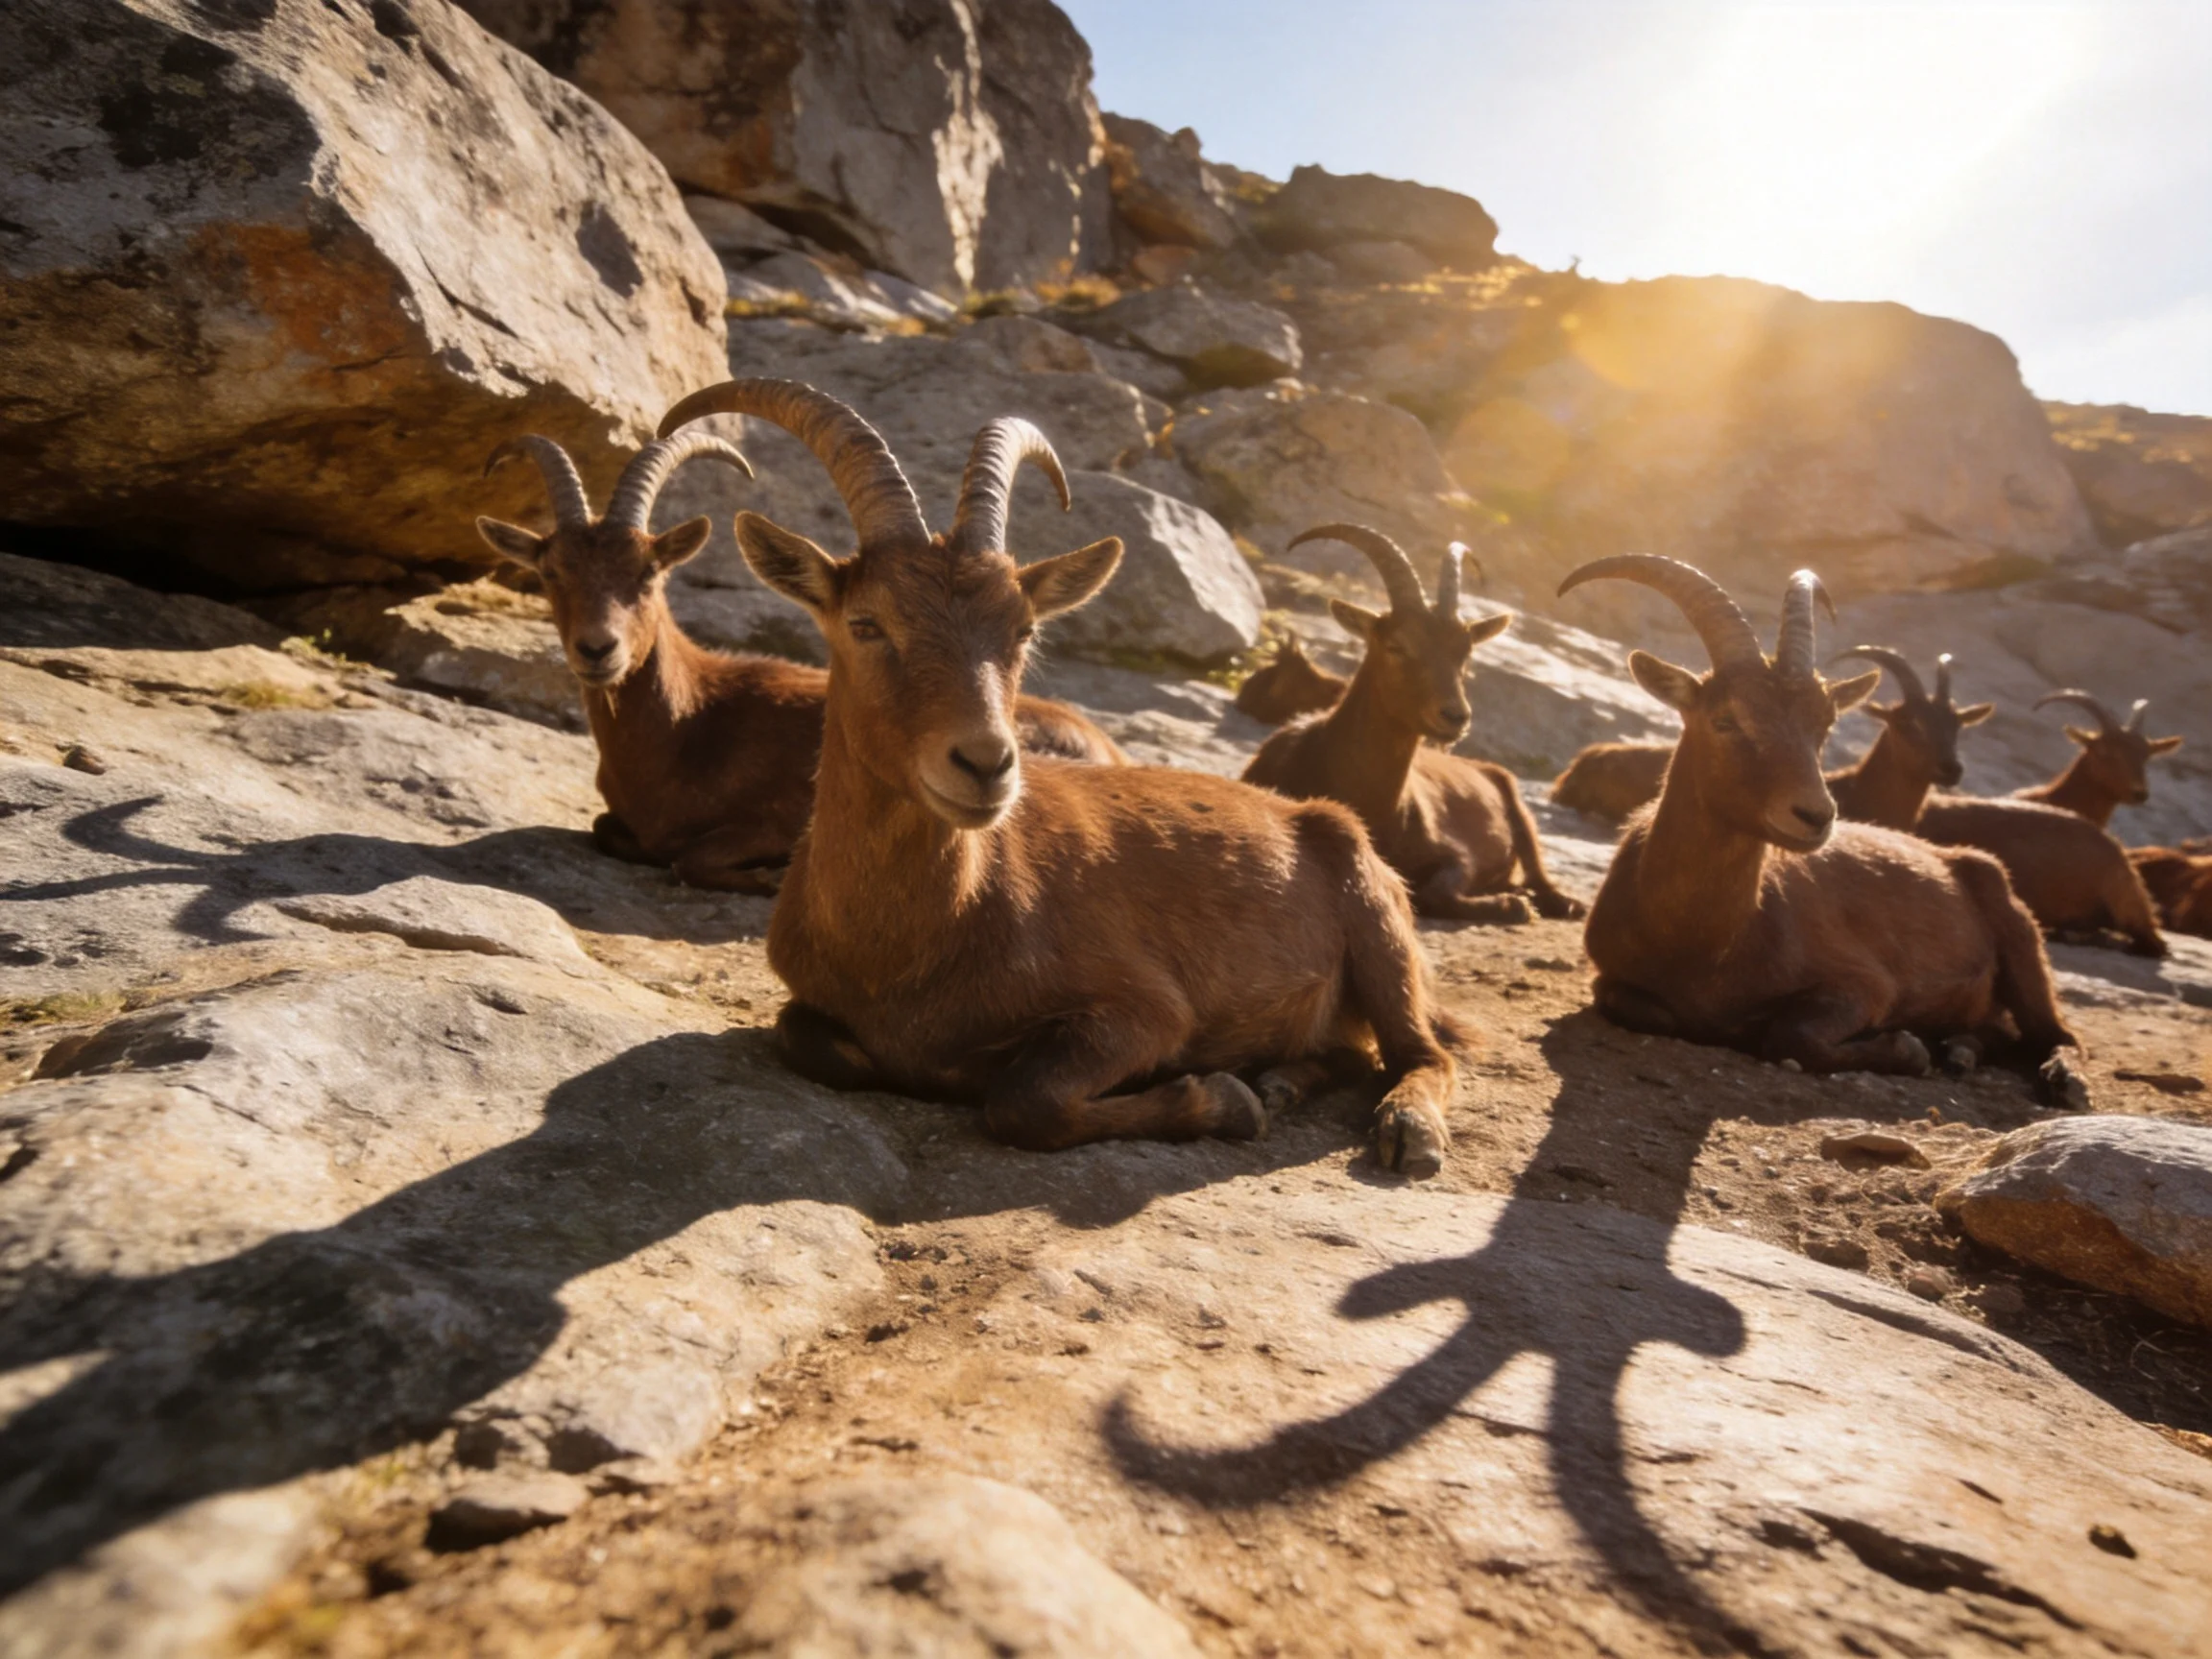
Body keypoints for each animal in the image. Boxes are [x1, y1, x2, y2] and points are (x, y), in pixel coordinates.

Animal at [475, 432, 1124, 894]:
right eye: (550, 572)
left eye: (649, 572)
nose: (597, 649)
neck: (686, 725)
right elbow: (611, 832)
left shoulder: (778, 813)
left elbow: (688, 858)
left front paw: (767, 876)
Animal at [658, 378, 1464, 1174]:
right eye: (866, 623)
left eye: (1023, 629)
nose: (985, 763)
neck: (913, 943)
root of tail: (1321, 817)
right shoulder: (813, 1004)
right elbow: (805, 1038)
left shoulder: (1144, 1006)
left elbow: (1026, 1100)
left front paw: (1223, 1098)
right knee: (1355, 1053)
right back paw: (1286, 1079)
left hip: (1380, 927)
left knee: (1419, 1052)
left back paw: (1404, 1129)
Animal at [1242, 525, 1583, 924]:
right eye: (1396, 646)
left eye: (1465, 652)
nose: (1455, 716)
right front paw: (1509, 902)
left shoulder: (1456, 853)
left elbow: (1439, 889)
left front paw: (1511, 904)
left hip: (1520, 813)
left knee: (1541, 878)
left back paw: (1559, 901)